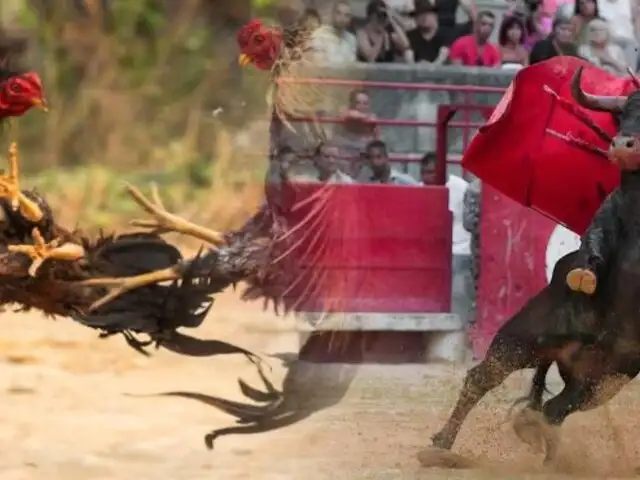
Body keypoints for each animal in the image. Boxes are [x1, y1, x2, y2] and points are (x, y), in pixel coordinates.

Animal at [430, 67, 640, 464]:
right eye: (623, 116)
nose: (623, 145)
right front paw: (585, 273)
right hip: (524, 336)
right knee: (485, 378)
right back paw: (440, 446)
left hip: (600, 380)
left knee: (552, 410)